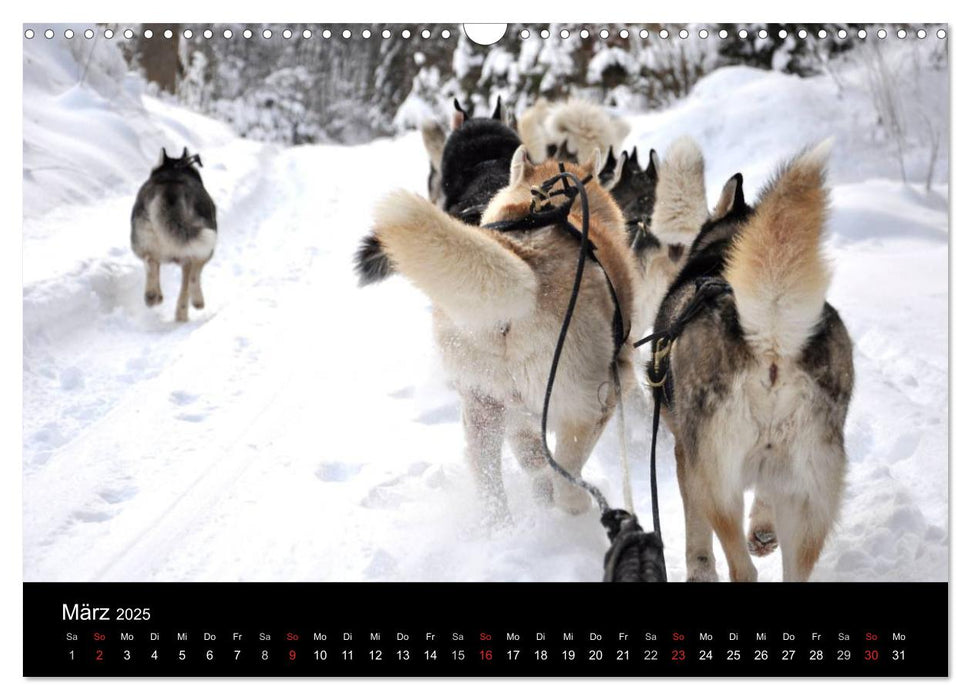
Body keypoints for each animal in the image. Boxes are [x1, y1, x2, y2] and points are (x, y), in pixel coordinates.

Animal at [131, 149, 216, 324]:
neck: (174, 170)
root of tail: (170, 189)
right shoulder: (199, 255)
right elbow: (192, 279)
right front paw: (196, 302)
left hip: (142, 238)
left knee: (150, 261)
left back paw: (152, 296)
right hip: (203, 241)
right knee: (189, 283)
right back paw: (186, 312)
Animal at [364, 149, 644, 520]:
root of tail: (525, 262)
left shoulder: (516, 418)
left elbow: (532, 461)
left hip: (483, 408)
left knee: (495, 487)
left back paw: (505, 523)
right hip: (587, 403)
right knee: (566, 480)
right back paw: (583, 508)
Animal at [652, 141, 852, 580]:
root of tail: (771, 337)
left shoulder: (685, 457)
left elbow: (697, 536)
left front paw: (699, 569)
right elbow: (763, 500)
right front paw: (762, 530)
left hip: (715, 481)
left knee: (743, 568)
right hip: (808, 496)